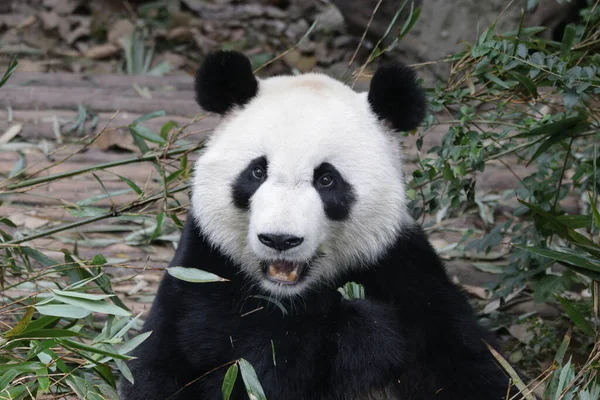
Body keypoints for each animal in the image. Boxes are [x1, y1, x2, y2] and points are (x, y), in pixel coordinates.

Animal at [118, 50, 516, 400]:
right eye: (257, 171)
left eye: (326, 180)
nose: (280, 239)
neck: (288, 295)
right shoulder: (203, 270)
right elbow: (237, 356)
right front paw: (359, 327)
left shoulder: (404, 268)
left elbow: (473, 364)